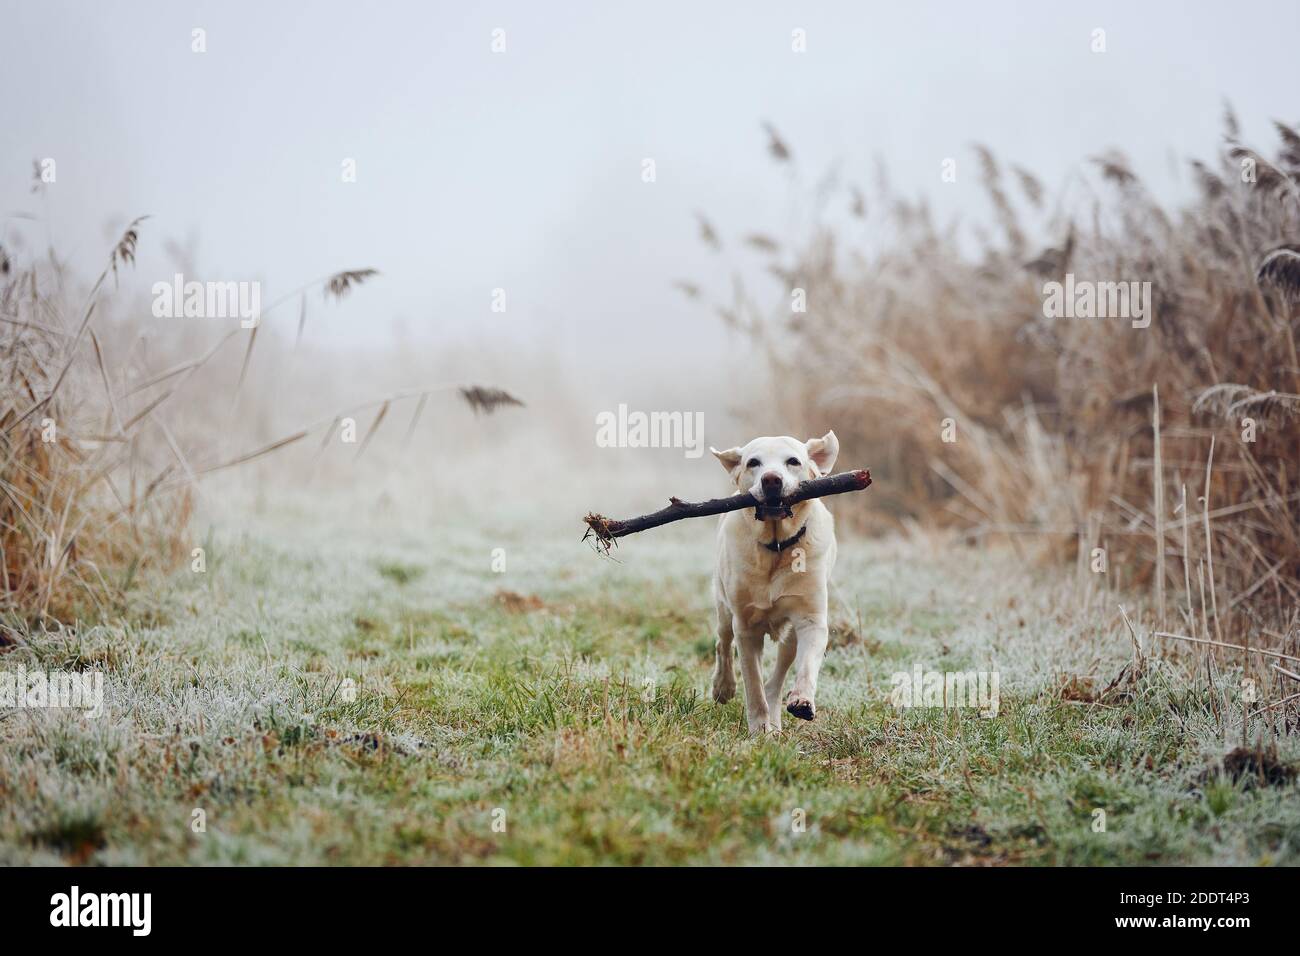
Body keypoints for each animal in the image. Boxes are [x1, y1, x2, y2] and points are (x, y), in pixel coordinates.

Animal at [707, 429, 837, 738]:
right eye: (753, 462)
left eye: (793, 461)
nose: (771, 480)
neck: (776, 546)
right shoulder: (745, 627)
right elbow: (752, 685)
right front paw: (759, 728)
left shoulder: (811, 619)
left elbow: (806, 665)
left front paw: (802, 700)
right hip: (724, 608)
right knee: (722, 643)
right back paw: (723, 687)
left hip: (789, 635)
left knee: (776, 678)